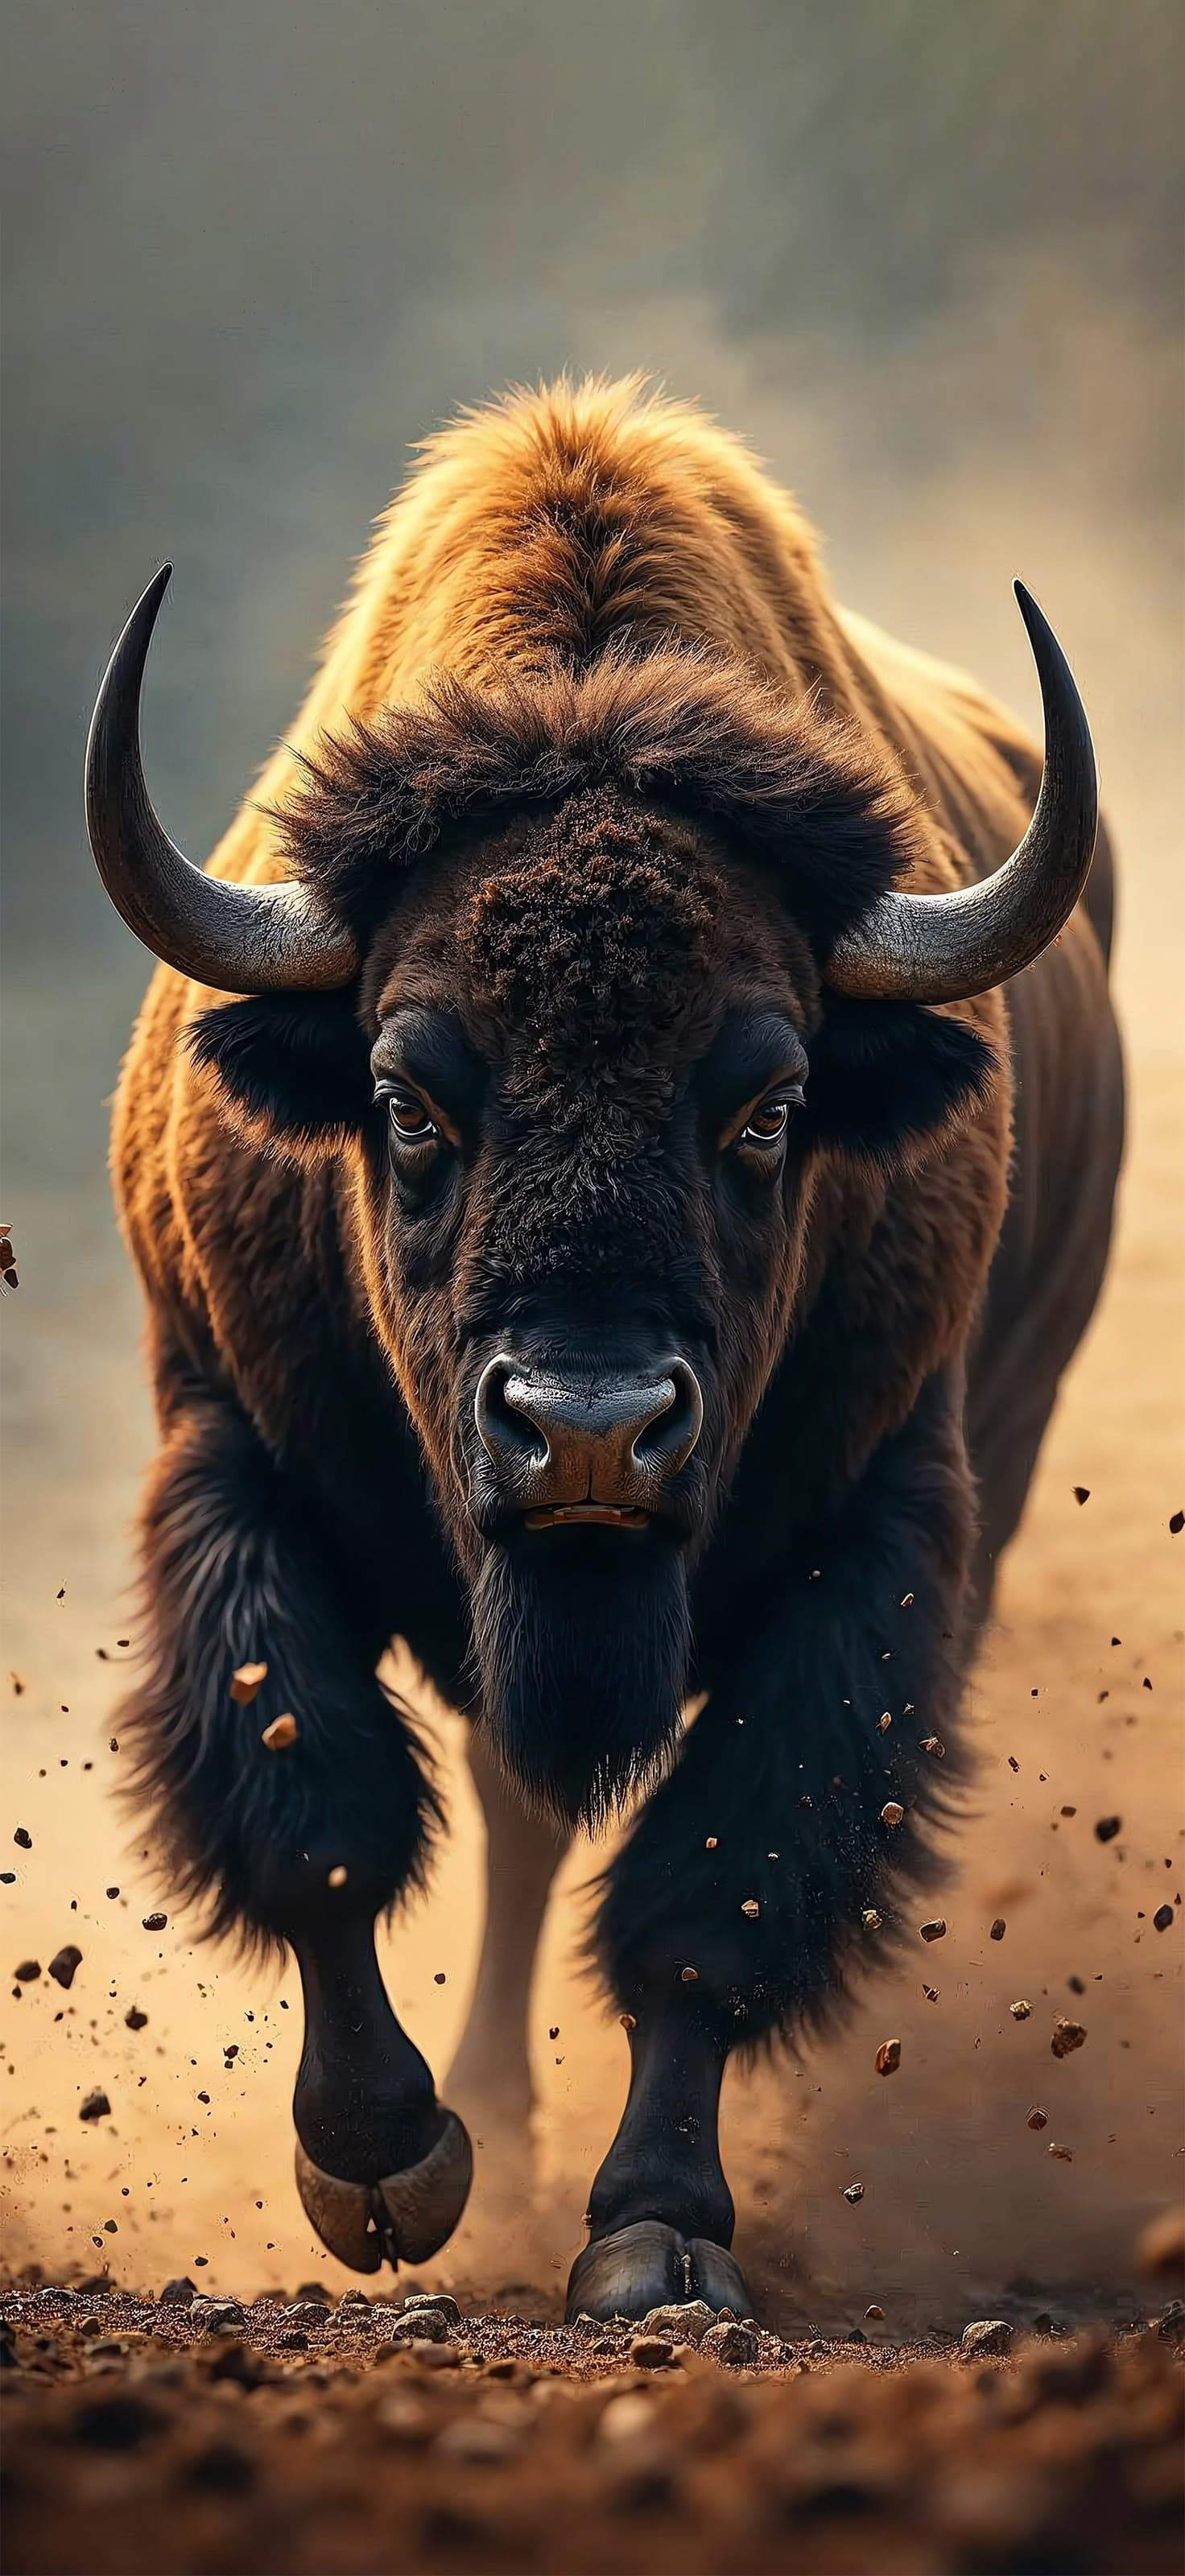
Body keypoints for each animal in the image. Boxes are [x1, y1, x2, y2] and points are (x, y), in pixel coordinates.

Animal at [86, 378, 1123, 2319]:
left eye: (770, 1107)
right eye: (406, 1099)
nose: (585, 1431)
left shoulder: (883, 1528)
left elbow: (722, 1883)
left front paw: (655, 2232)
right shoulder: (229, 1448)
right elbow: (314, 1805)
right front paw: (385, 2169)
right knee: (508, 1818)